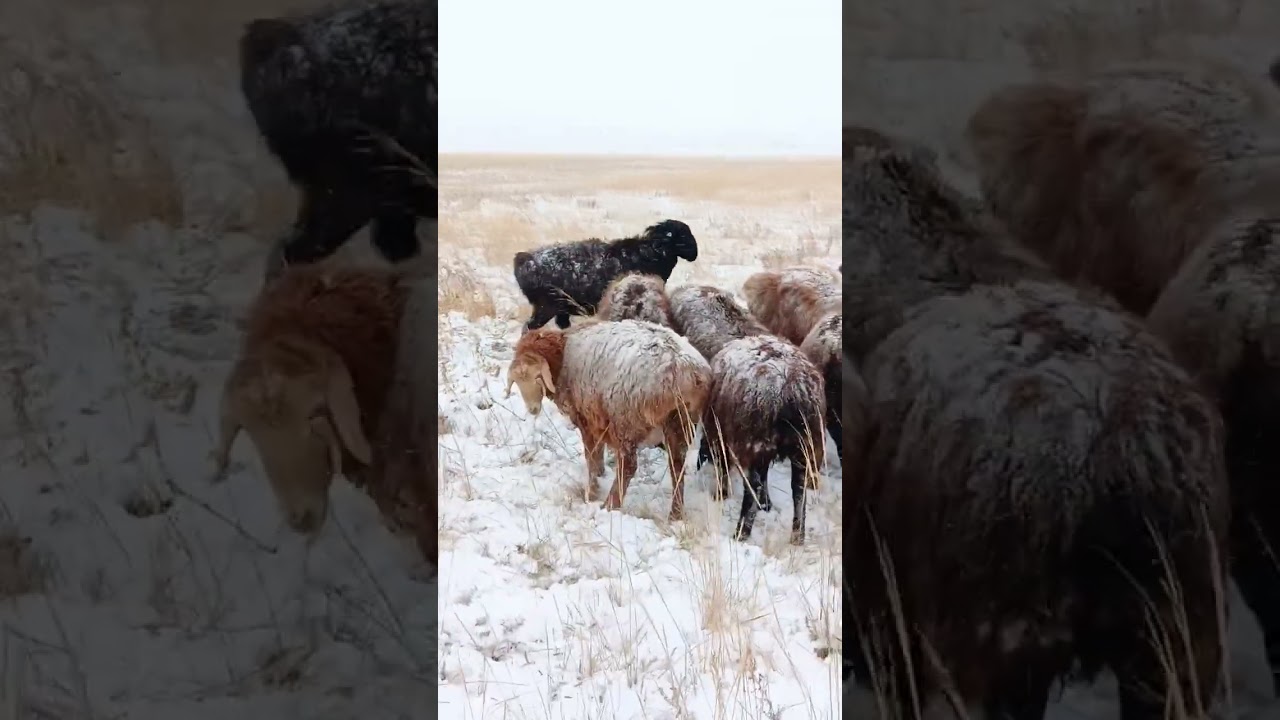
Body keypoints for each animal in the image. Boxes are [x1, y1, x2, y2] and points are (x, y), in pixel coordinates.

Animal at [505, 319, 710, 520]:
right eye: (518, 381)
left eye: (537, 377)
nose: (532, 409)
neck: (561, 356)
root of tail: (685, 370)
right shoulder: (599, 419)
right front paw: (601, 475)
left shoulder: (586, 419)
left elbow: (591, 455)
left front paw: (592, 490)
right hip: (682, 422)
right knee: (677, 466)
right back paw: (675, 514)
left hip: (627, 419)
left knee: (628, 466)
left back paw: (610, 505)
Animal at [512, 219, 698, 331]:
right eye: (682, 235)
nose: (694, 254)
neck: (652, 252)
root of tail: (522, 260)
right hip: (546, 307)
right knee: (529, 328)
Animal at [668, 284, 825, 543]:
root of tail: (792, 390)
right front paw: (767, 505)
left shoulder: (718, 428)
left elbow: (720, 462)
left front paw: (721, 495)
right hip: (805, 445)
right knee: (798, 491)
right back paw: (797, 536)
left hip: (758, 441)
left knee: (752, 489)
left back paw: (741, 532)